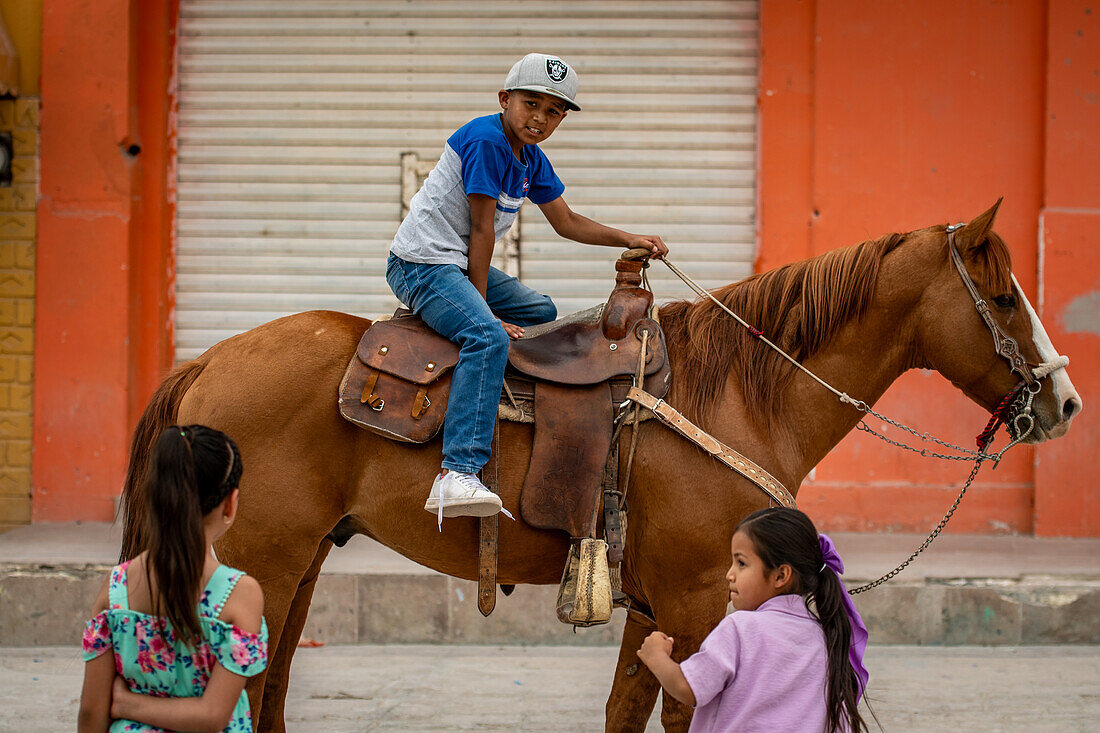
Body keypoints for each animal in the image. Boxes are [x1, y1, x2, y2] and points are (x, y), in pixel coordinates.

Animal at [118, 201, 1073, 730]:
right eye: (999, 297)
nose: (1063, 402)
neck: (741, 393)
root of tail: (207, 361)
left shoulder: (654, 605)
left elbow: (627, 710)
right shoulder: (693, 601)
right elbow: (685, 712)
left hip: (299, 563)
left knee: (272, 691)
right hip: (271, 562)